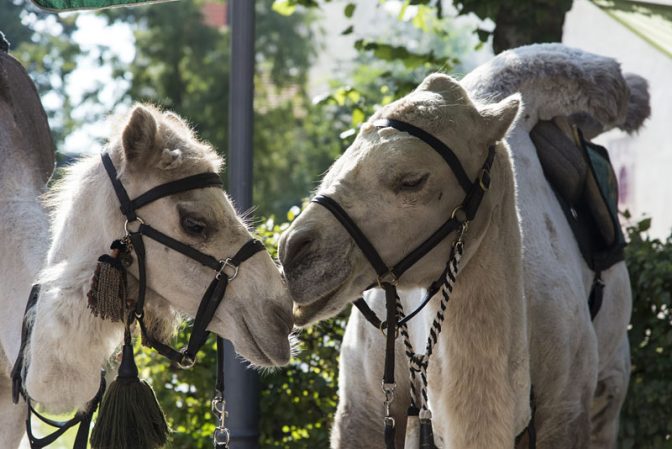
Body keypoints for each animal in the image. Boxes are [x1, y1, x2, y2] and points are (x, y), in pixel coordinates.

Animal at [278, 43, 644, 448]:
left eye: (412, 180)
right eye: (341, 159)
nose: (292, 252)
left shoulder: (568, 413)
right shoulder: (378, 415)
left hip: (609, 389)